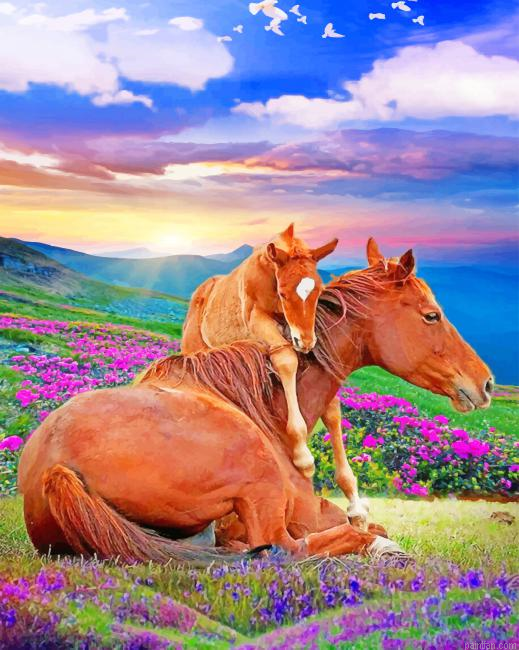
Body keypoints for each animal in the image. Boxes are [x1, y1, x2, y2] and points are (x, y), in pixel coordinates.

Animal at [182, 223, 338, 478]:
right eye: (284, 293)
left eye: (318, 291)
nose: (305, 342)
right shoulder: (257, 320)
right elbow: (286, 360)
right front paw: (303, 456)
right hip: (193, 348)